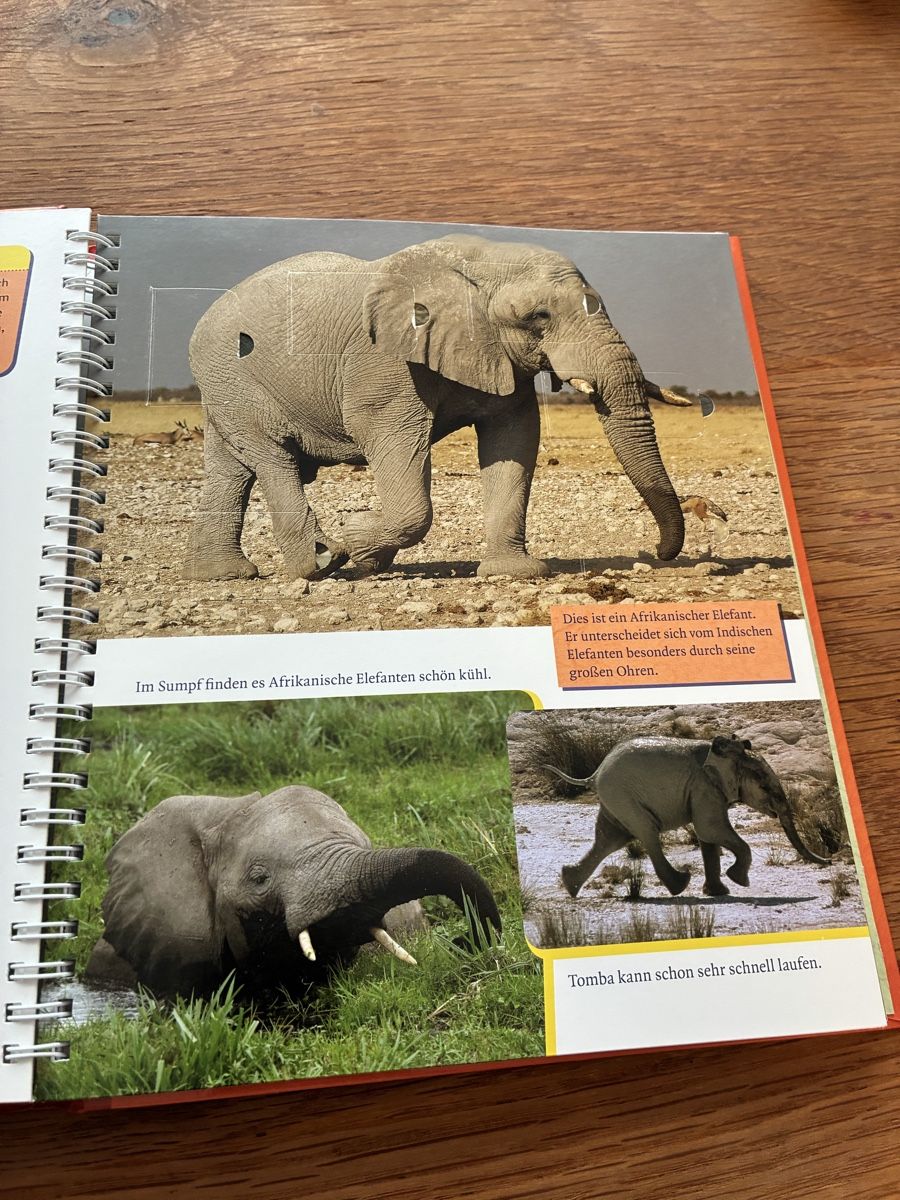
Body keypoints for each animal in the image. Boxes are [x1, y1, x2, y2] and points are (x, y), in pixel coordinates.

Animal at [184, 233, 692, 583]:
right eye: (538, 318)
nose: (656, 553)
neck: (480, 260)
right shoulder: (384, 363)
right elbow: (393, 442)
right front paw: (358, 539)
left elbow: (514, 439)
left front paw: (512, 573)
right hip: (231, 378)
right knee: (273, 457)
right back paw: (320, 563)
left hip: (222, 387)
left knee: (231, 471)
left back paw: (222, 575)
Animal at [543, 734, 831, 898]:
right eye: (765, 786)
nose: (829, 860)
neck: (724, 756)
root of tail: (595, 773)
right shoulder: (704, 787)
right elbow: (710, 829)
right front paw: (739, 881)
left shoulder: (705, 792)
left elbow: (708, 837)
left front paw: (718, 892)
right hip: (622, 795)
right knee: (646, 833)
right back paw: (680, 885)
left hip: (615, 799)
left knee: (610, 839)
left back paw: (570, 886)